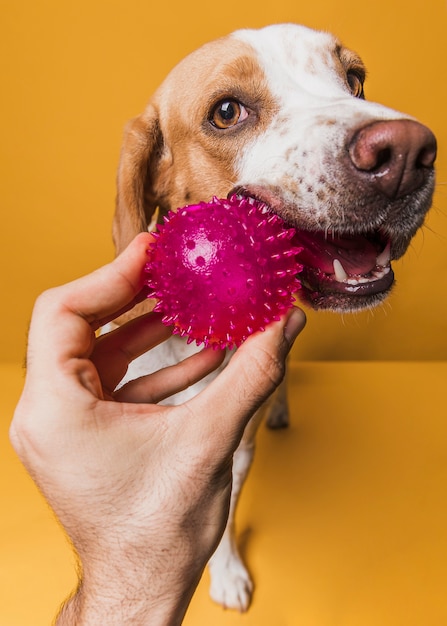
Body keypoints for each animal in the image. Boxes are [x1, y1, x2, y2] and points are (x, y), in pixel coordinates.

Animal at [108, 22, 438, 608]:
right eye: (226, 112)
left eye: (354, 80)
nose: (407, 151)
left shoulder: (232, 453)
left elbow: (224, 523)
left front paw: (227, 572)